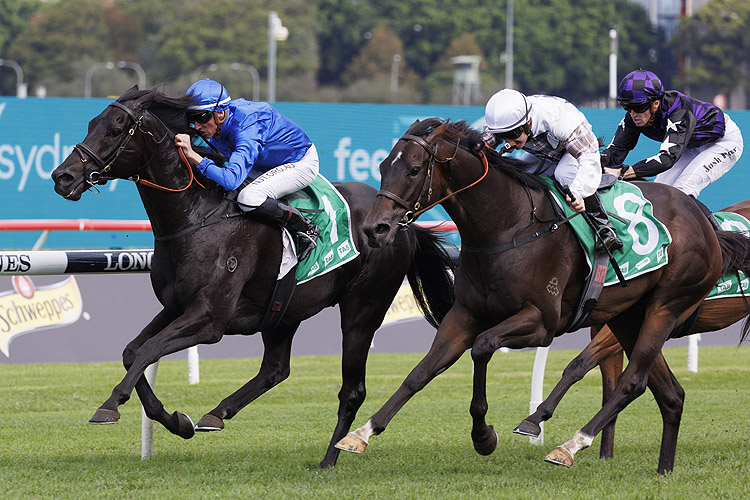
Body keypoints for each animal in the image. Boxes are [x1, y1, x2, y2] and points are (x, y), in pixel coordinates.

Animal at [51, 87, 458, 468]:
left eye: (115, 129)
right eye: (91, 124)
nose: (62, 177)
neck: (196, 217)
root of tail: (401, 224)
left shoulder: (209, 319)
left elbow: (149, 350)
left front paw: (109, 405)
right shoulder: (177, 307)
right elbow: (132, 351)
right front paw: (176, 422)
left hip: (362, 310)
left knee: (351, 389)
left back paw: (331, 456)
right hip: (285, 310)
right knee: (275, 370)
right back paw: (216, 414)